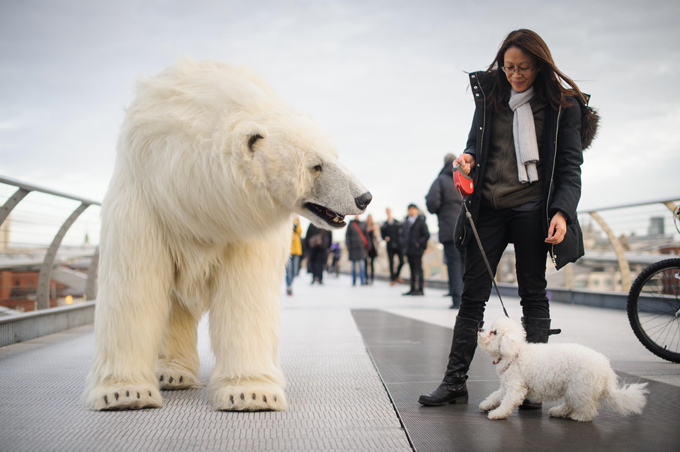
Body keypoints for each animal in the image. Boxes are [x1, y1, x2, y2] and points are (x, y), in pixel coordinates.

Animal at [82, 58, 371, 411]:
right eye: (316, 165)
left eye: (335, 156)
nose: (364, 198)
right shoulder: (147, 204)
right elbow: (135, 286)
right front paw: (125, 393)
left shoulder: (243, 227)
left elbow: (246, 292)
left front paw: (252, 394)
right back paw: (172, 374)